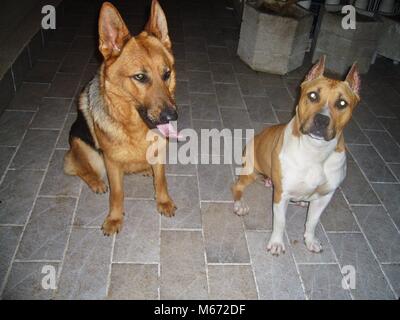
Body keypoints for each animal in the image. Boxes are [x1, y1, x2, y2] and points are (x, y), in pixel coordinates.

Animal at [64, 0, 178, 235]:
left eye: (167, 74)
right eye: (140, 77)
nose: (172, 116)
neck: (135, 128)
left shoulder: (159, 152)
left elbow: (162, 181)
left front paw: (163, 201)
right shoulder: (112, 163)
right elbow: (117, 194)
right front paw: (115, 218)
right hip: (85, 149)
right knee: (75, 166)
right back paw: (96, 182)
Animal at [231, 55, 360, 255]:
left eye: (342, 103)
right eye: (313, 95)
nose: (322, 120)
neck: (315, 150)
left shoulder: (325, 196)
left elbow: (312, 221)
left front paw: (310, 240)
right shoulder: (281, 194)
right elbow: (280, 221)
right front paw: (277, 243)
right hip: (250, 171)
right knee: (237, 186)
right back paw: (241, 204)